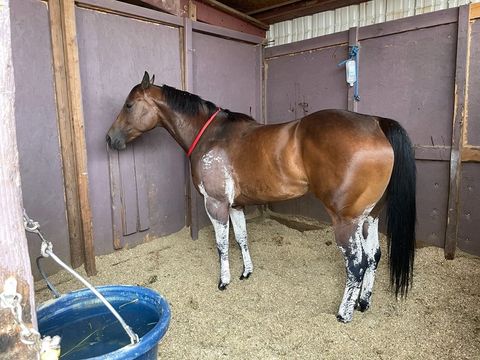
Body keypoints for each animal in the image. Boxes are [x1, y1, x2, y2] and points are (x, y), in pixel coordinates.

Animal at [107, 71, 414, 322]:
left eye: (129, 105)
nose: (110, 139)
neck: (211, 136)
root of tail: (375, 123)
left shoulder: (215, 203)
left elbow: (222, 244)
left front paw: (224, 281)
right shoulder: (235, 205)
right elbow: (241, 238)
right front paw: (246, 273)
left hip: (346, 221)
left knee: (356, 264)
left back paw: (344, 314)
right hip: (369, 217)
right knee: (373, 256)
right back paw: (363, 302)